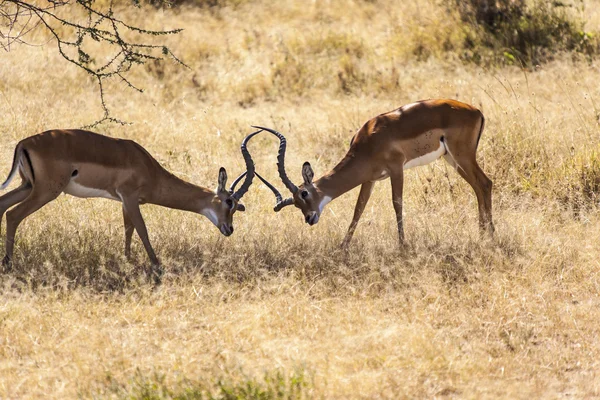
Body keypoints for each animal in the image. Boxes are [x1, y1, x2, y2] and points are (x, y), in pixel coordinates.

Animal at [0, 128, 256, 278]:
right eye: (229, 202)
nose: (229, 229)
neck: (149, 169)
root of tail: (24, 143)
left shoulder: (124, 202)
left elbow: (128, 230)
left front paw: (127, 262)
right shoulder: (131, 197)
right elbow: (142, 230)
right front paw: (157, 267)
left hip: (28, 186)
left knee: (3, 205)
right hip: (45, 191)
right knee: (13, 215)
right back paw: (8, 264)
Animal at [252, 98, 492, 245]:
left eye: (304, 193)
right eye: (296, 203)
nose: (309, 218)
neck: (369, 141)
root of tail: (477, 111)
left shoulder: (396, 169)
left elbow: (397, 203)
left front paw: (402, 245)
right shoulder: (370, 179)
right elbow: (358, 209)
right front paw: (343, 246)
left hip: (462, 156)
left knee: (485, 183)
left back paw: (491, 235)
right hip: (453, 159)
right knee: (478, 187)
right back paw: (483, 235)